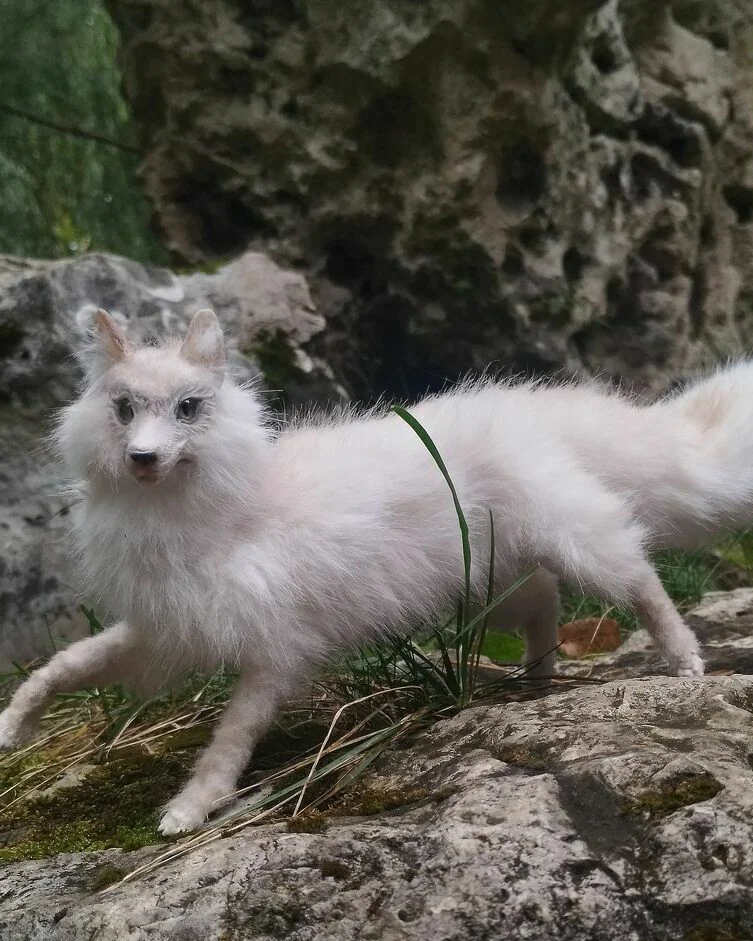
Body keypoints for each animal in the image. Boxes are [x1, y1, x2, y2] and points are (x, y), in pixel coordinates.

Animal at [0, 307, 748, 833]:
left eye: (188, 408)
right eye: (123, 410)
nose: (143, 458)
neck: (219, 508)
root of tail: (529, 404)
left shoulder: (275, 652)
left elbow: (230, 740)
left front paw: (191, 808)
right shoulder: (163, 631)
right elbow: (65, 666)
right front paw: (13, 725)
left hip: (576, 543)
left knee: (640, 581)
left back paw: (683, 661)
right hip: (491, 583)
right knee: (544, 601)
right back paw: (537, 678)